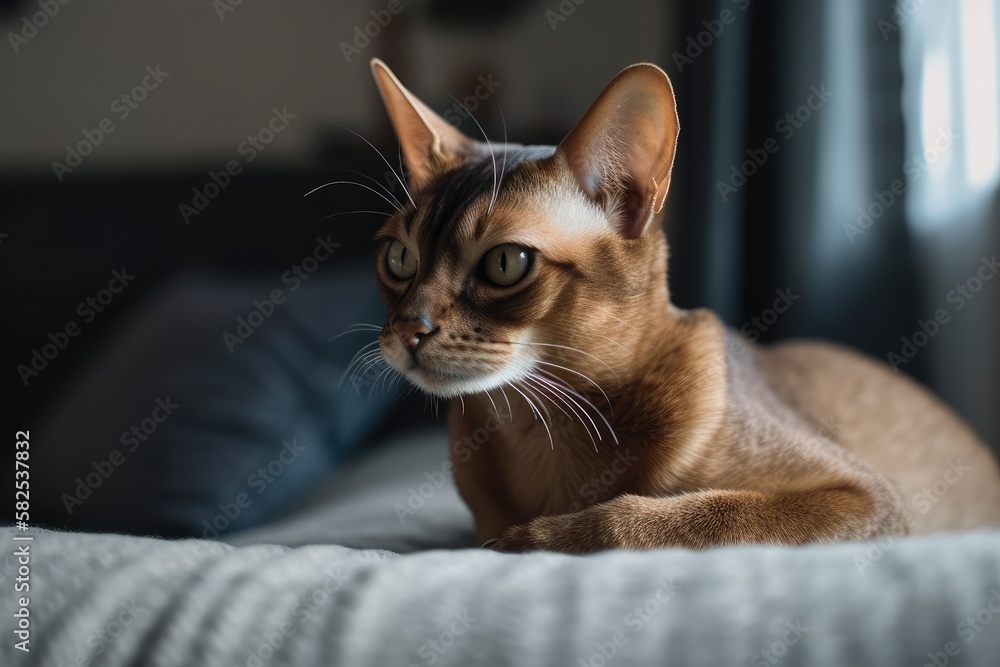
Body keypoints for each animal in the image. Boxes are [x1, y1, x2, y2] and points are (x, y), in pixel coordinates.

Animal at [366, 58, 1000, 552]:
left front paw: (540, 538)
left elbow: (686, 517)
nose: (409, 328)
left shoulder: (866, 498)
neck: (540, 430)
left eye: (505, 263)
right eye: (398, 258)